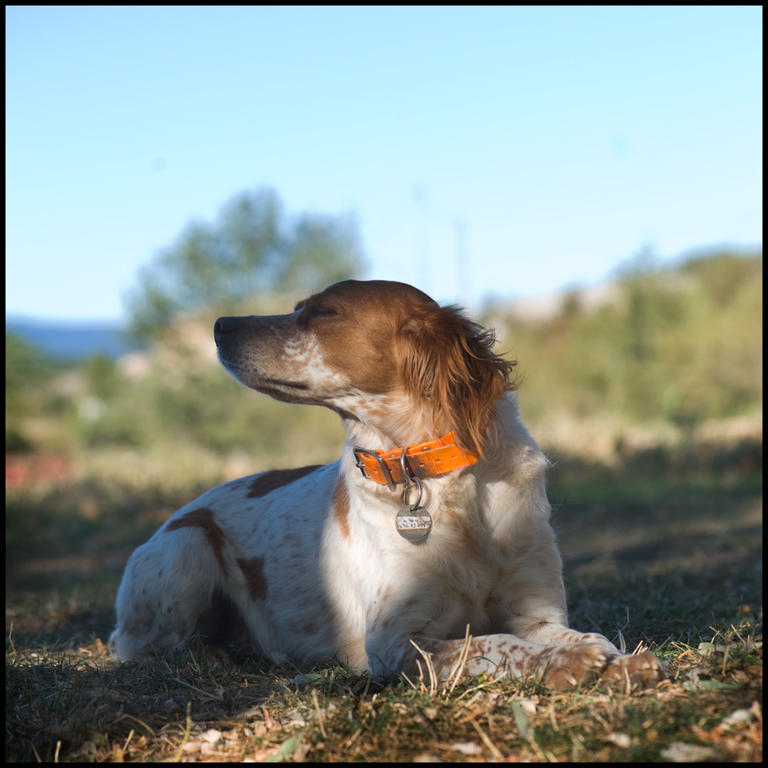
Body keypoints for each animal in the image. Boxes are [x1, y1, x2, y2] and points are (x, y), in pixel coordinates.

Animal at [109, 278, 664, 688]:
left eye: (322, 312)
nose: (220, 324)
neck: (436, 477)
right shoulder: (394, 641)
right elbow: (492, 644)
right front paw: (562, 665)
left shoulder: (537, 613)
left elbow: (588, 636)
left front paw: (620, 661)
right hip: (186, 547)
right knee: (144, 648)